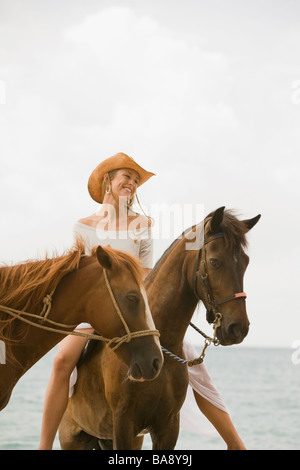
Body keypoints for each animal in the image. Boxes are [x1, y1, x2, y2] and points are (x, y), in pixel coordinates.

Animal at [58, 207, 260, 450]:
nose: (238, 328)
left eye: (246, 262)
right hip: (73, 438)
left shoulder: (167, 425)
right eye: (214, 262)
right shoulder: (124, 424)